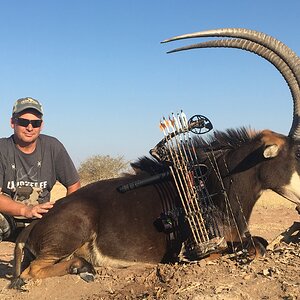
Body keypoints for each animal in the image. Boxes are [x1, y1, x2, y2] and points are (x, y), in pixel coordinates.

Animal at [9, 28, 300, 288]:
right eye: (297, 153)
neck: (218, 182)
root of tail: (35, 223)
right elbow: (254, 247)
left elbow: (261, 243)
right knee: (32, 271)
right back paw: (85, 268)